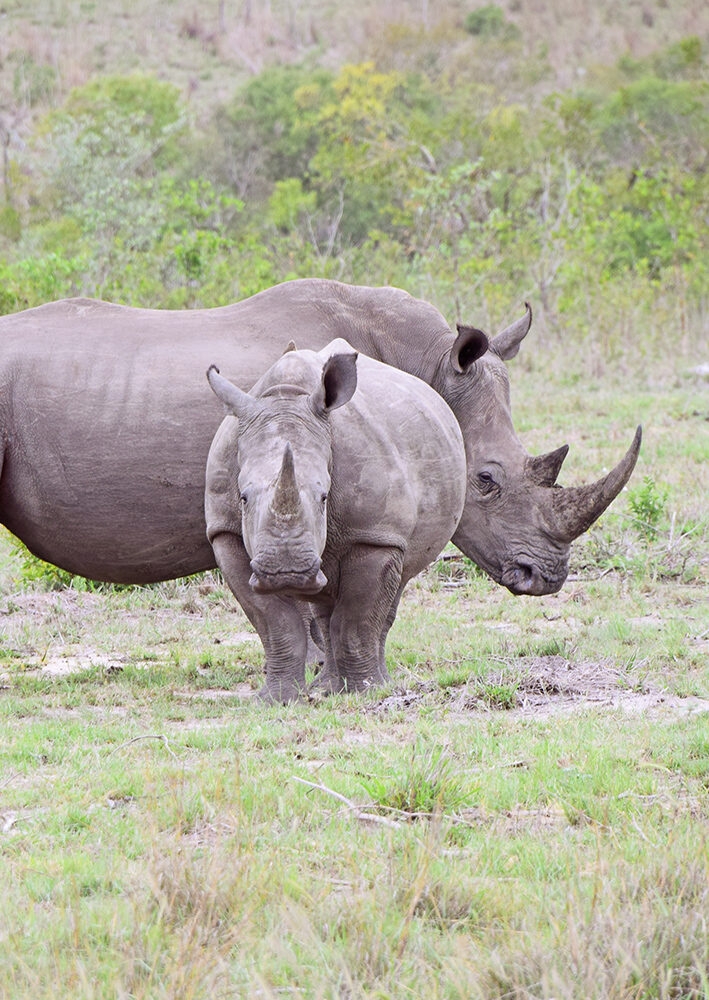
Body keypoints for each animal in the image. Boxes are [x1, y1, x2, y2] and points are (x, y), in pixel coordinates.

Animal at [204, 341, 466, 701]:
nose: (286, 573)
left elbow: (356, 619)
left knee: (389, 592)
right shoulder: (225, 532)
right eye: (243, 497)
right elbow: (275, 624)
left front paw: (365, 692)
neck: (286, 399)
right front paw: (276, 699)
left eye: (324, 497)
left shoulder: (374, 534)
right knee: (324, 604)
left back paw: (372, 684)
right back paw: (326, 688)